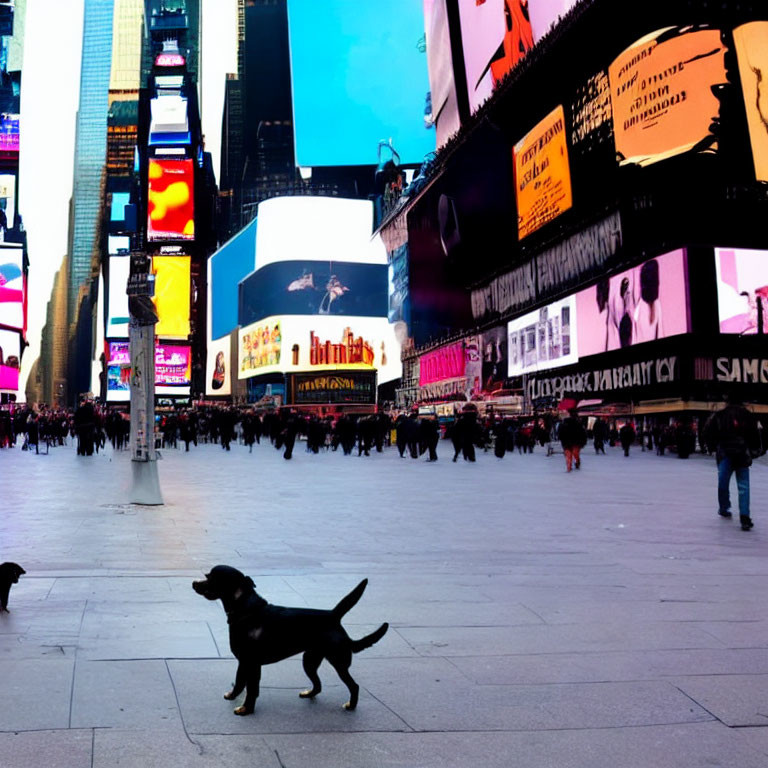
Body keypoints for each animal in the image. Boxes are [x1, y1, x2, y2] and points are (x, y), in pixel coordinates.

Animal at [190, 564, 388, 712]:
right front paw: (232, 696)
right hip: (309, 661)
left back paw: (351, 706)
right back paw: (309, 694)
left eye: (210, 578)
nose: (193, 583)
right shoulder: (244, 661)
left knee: (354, 686)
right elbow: (240, 681)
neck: (246, 609)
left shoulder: (252, 663)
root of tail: (333, 616)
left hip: (338, 662)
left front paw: (246, 710)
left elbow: (251, 689)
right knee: (318, 685)